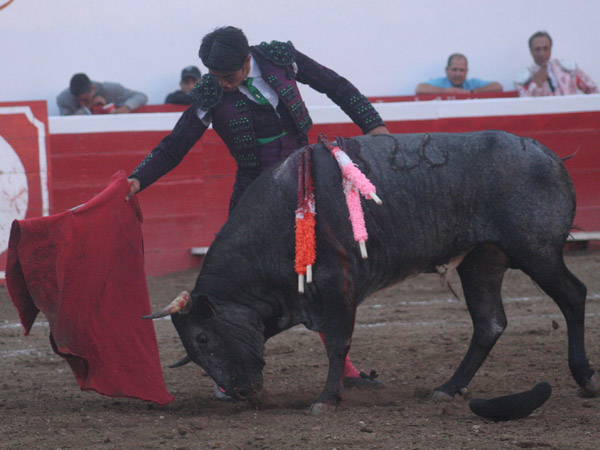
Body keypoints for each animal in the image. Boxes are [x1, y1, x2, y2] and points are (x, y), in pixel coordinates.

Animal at [144, 131, 596, 414]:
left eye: (203, 338)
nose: (240, 392)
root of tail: (549, 155)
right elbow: (335, 343)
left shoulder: (337, 285)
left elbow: (338, 343)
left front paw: (326, 399)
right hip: (481, 262)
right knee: (490, 323)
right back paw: (446, 389)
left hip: (537, 252)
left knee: (573, 296)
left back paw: (586, 378)